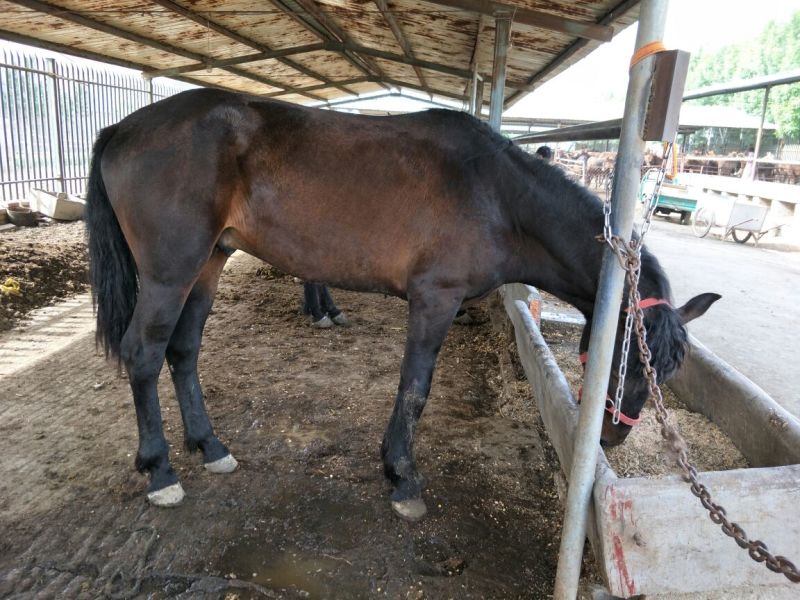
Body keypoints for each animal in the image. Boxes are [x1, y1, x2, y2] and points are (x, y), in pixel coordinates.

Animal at [85, 88, 719, 519]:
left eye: (665, 371)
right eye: (626, 357)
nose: (611, 436)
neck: (497, 194)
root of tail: (122, 127)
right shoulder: (435, 299)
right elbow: (415, 387)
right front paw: (403, 477)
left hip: (208, 265)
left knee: (183, 352)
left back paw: (210, 446)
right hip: (169, 272)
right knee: (144, 354)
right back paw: (160, 470)